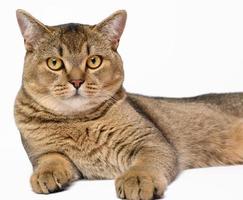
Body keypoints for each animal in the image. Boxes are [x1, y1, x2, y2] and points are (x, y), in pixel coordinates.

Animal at [14, 9, 243, 200]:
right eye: (54, 63)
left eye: (94, 61)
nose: (77, 81)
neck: (79, 122)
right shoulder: (41, 153)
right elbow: (51, 159)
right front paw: (46, 174)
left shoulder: (152, 142)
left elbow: (146, 163)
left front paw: (139, 179)